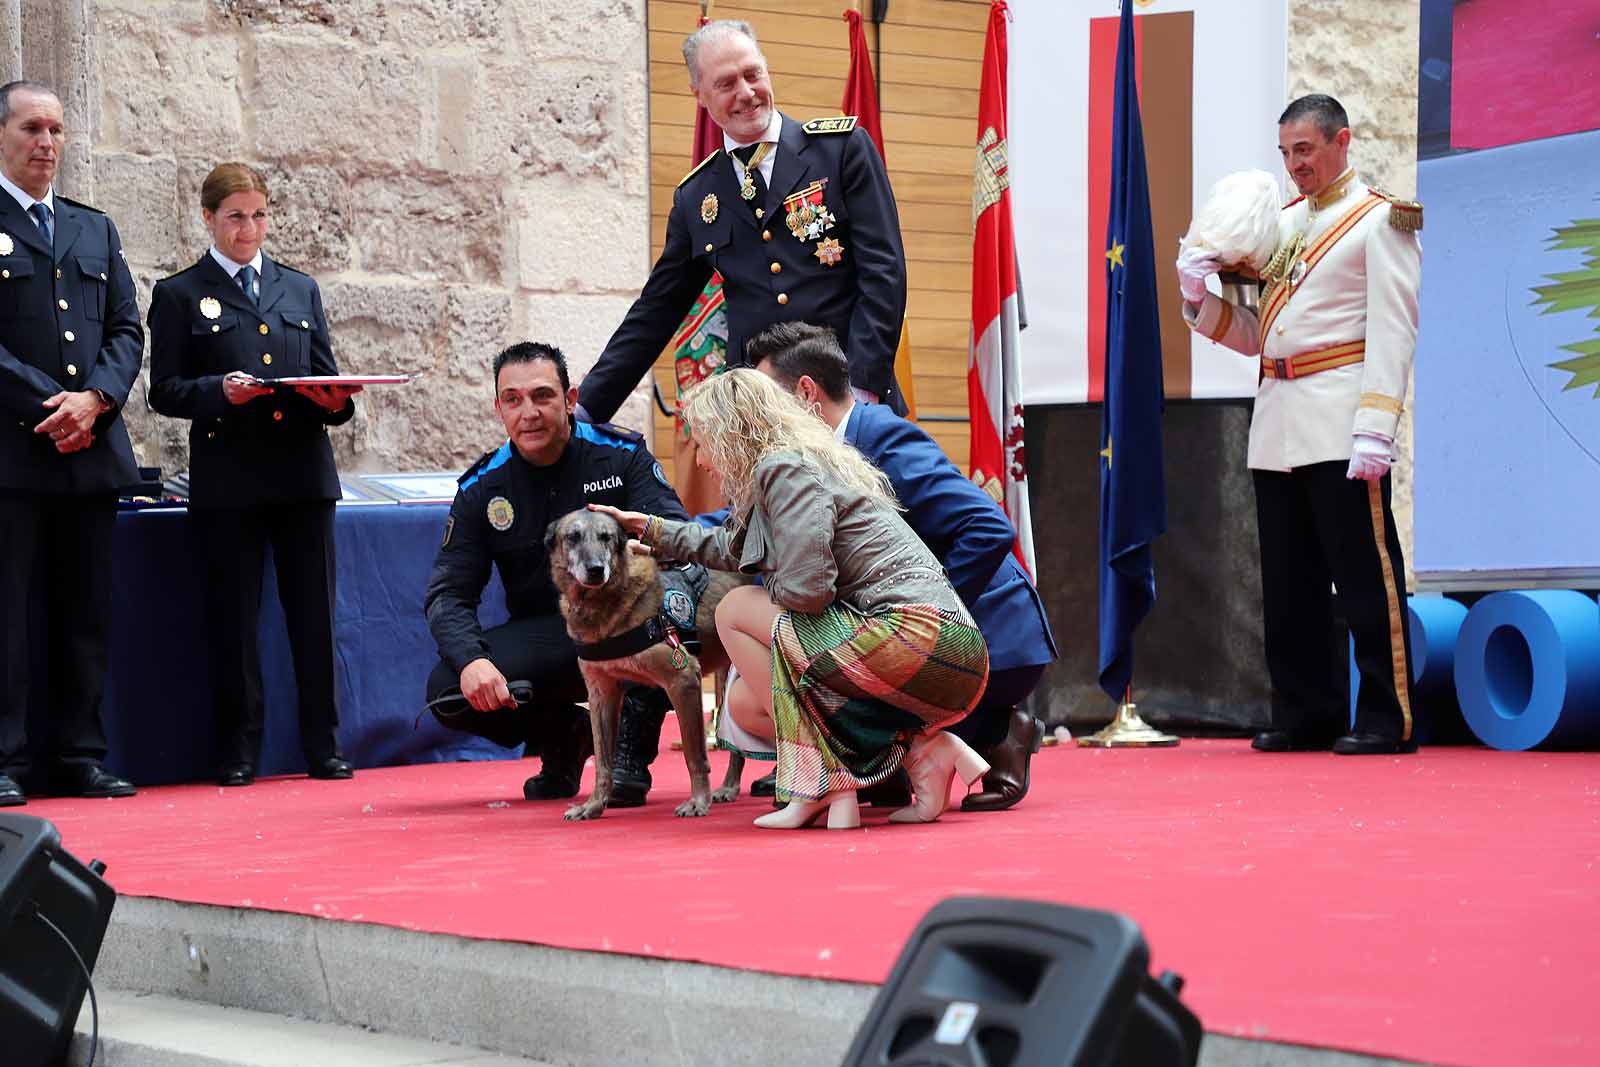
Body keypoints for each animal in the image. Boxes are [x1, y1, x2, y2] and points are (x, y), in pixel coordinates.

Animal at [547, 508, 745, 819]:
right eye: (573, 536)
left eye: (606, 537)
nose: (595, 569)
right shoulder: (602, 693)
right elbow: (603, 762)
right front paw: (594, 805)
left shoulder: (683, 679)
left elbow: (694, 754)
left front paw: (698, 801)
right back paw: (729, 787)